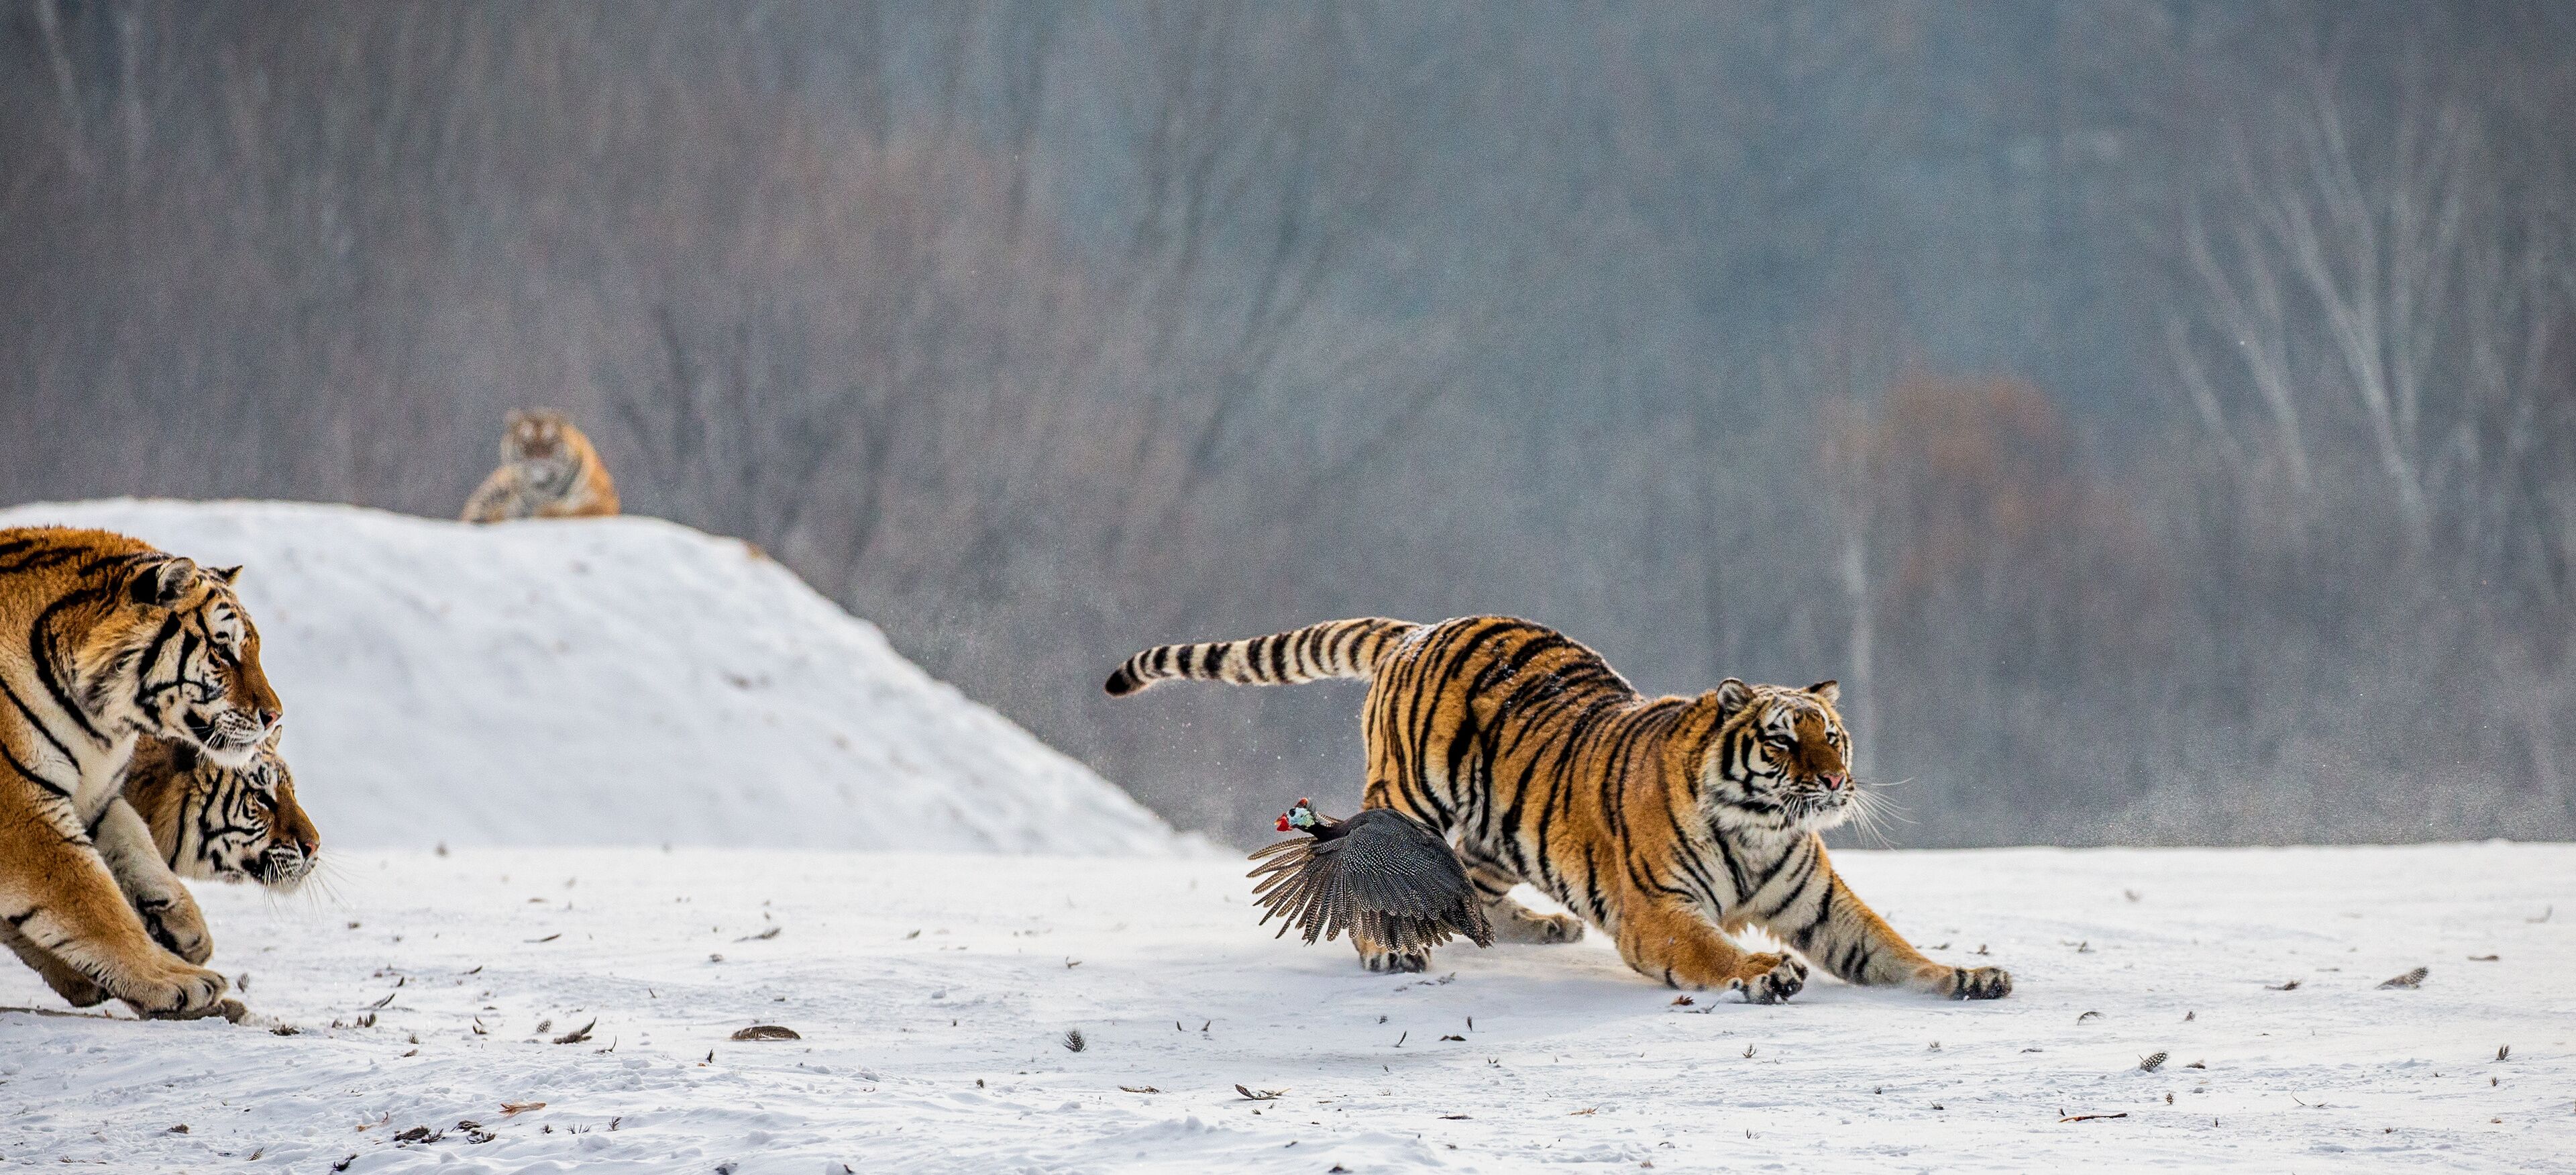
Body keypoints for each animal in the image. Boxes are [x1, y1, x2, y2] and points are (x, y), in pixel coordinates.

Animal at [0, 528, 283, 1018]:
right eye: (222, 650)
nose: (275, 715)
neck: (100, 721)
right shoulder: (22, 809)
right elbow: (93, 900)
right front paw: (178, 979)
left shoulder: (92, 793)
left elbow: (135, 842)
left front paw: (187, 930)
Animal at [460, 408, 622, 523]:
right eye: (526, 441)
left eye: (550, 441)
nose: (538, 458)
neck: (543, 488)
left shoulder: (602, 502)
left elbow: (570, 511)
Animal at [1107, 616, 2012, 1003]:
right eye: (1787, 742)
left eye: (1835, 736)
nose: (1834, 782)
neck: (1761, 827)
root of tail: (1421, 626)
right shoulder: (1658, 910)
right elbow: (1713, 948)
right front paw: (1765, 970)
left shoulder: (1820, 900)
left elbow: (1888, 945)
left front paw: (1966, 973)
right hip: (1409, 797)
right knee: (1376, 873)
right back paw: (1390, 950)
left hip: (1499, 834)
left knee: (1469, 889)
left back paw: (1546, 926)